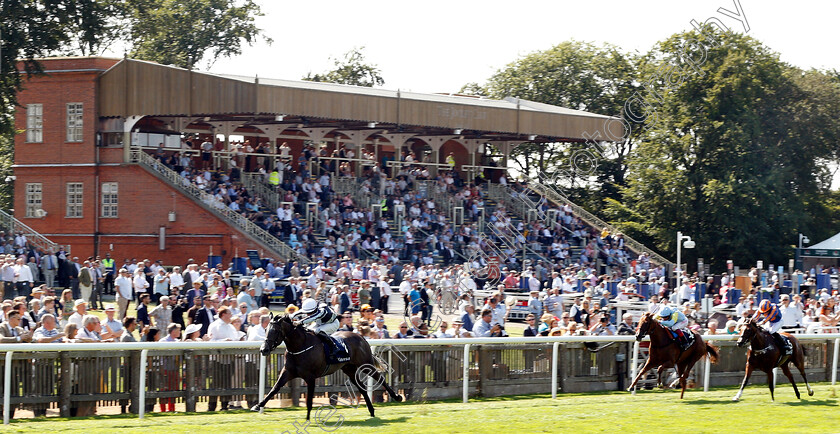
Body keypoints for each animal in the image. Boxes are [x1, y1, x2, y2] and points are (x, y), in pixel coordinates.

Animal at [251, 314, 402, 418]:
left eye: (275, 331)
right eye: (265, 329)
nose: (263, 349)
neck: (300, 346)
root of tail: (361, 337)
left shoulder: (310, 377)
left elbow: (309, 400)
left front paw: (307, 418)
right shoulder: (288, 371)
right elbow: (275, 388)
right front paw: (258, 405)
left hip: (365, 364)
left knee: (379, 377)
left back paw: (396, 397)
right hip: (349, 370)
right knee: (363, 389)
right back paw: (371, 411)